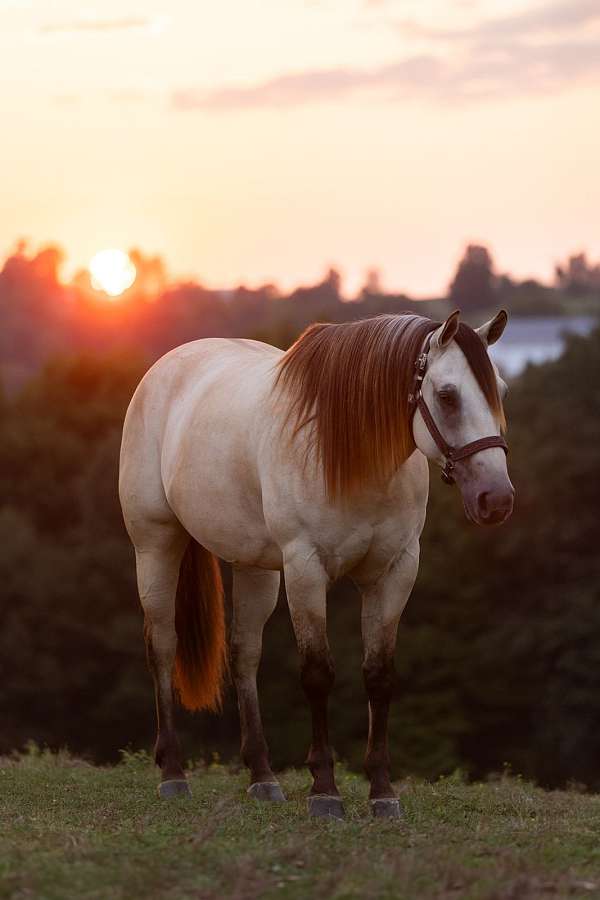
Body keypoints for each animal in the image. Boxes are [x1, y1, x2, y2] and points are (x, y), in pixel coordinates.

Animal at [119, 312, 512, 820]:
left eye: (499, 390)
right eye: (447, 395)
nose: (496, 498)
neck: (348, 453)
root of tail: (165, 367)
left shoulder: (395, 572)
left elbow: (378, 675)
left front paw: (382, 792)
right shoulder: (306, 569)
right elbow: (318, 674)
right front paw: (325, 791)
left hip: (255, 567)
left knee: (244, 654)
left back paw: (262, 776)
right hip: (156, 545)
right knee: (163, 646)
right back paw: (173, 773)